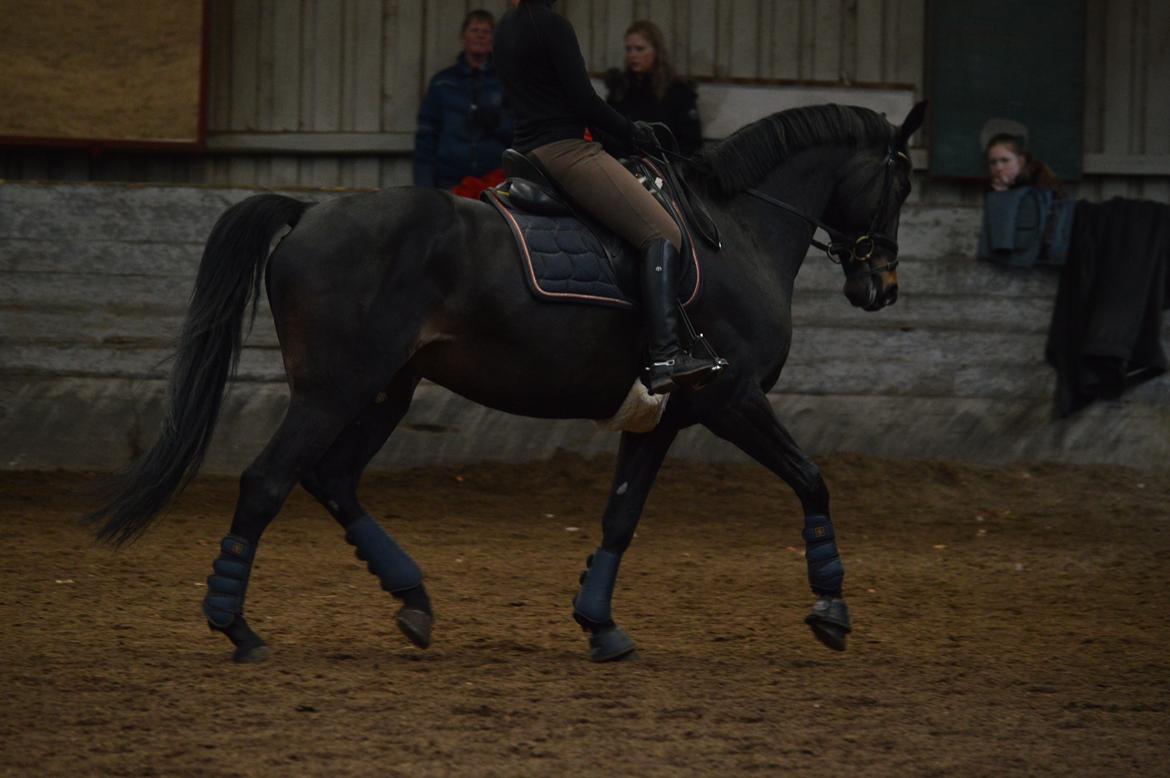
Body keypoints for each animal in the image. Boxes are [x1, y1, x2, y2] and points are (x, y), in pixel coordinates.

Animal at [82, 101, 926, 659]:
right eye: (902, 185)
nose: (880, 286)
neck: (736, 231)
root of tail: (310, 212)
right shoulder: (733, 399)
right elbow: (813, 479)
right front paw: (832, 606)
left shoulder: (664, 416)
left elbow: (621, 518)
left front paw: (600, 624)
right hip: (334, 390)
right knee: (267, 482)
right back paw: (237, 626)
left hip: (385, 389)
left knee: (330, 478)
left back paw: (413, 602)